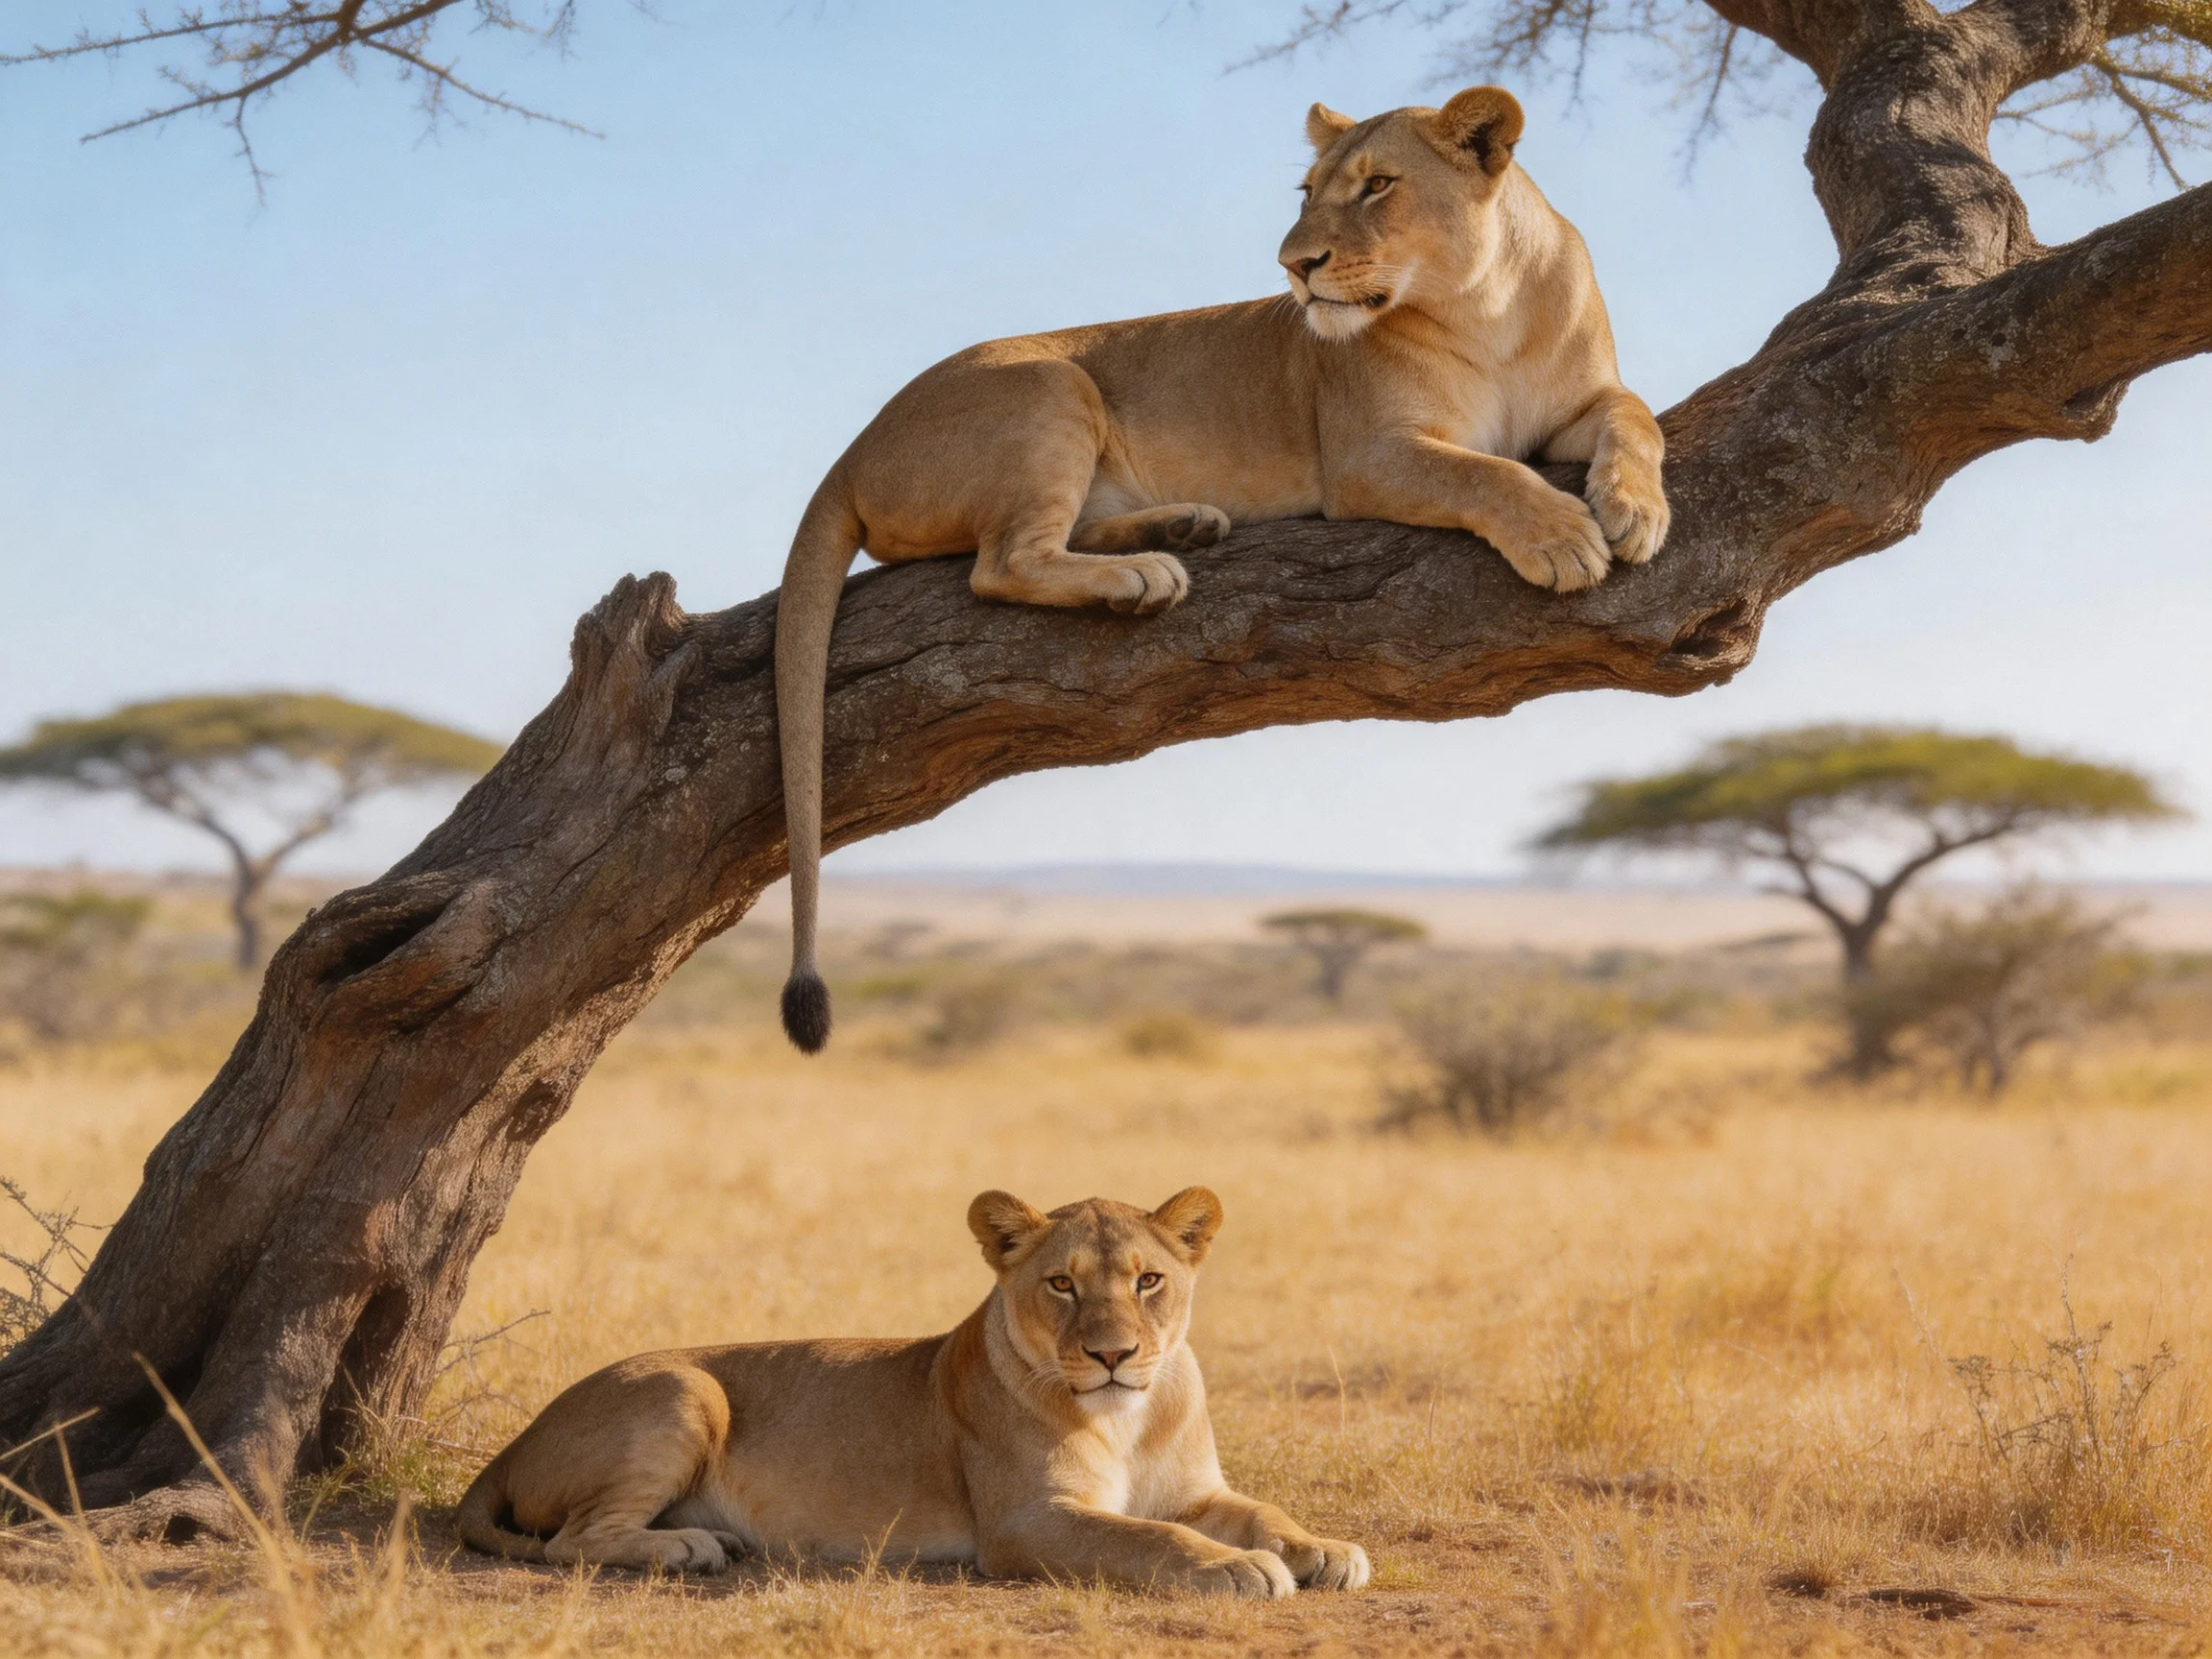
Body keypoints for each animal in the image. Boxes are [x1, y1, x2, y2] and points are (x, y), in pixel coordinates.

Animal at [455, 1187, 1370, 1599]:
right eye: (1062, 1285)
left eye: (1149, 1280)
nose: (1113, 1354)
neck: (1130, 1416)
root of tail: (512, 1445)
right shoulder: (1026, 1522)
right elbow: (1148, 1540)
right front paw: (1240, 1569)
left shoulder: (1195, 1491)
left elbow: (1260, 1512)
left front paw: (1323, 1549)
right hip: (685, 1388)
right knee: (573, 1540)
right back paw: (690, 1548)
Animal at [774, 86, 1668, 1051]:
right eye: (1307, 191)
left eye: (1378, 185)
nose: (1294, 266)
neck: (1488, 306)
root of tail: (852, 452)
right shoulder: (1369, 456)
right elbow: (1485, 472)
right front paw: (1562, 539)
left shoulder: (1578, 409)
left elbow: (1637, 417)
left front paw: (1638, 509)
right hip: (1051, 385)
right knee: (1001, 562)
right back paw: (1144, 578)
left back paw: (1185, 525)